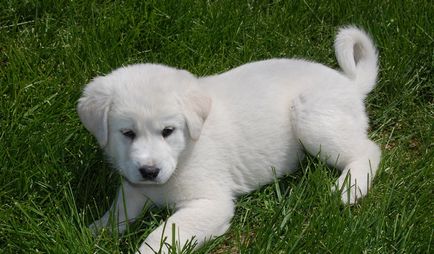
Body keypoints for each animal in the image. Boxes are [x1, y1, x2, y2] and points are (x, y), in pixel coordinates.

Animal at [77, 26, 380, 253]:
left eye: (168, 131)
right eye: (127, 133)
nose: (149, 171)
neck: (185, 152)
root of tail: (350, 84)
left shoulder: (211, 203)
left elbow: (162, 234)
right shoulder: (133, 189)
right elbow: (117, 213)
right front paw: (94, 232)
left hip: (312, 116)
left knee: (368, 151)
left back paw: (350, 188)